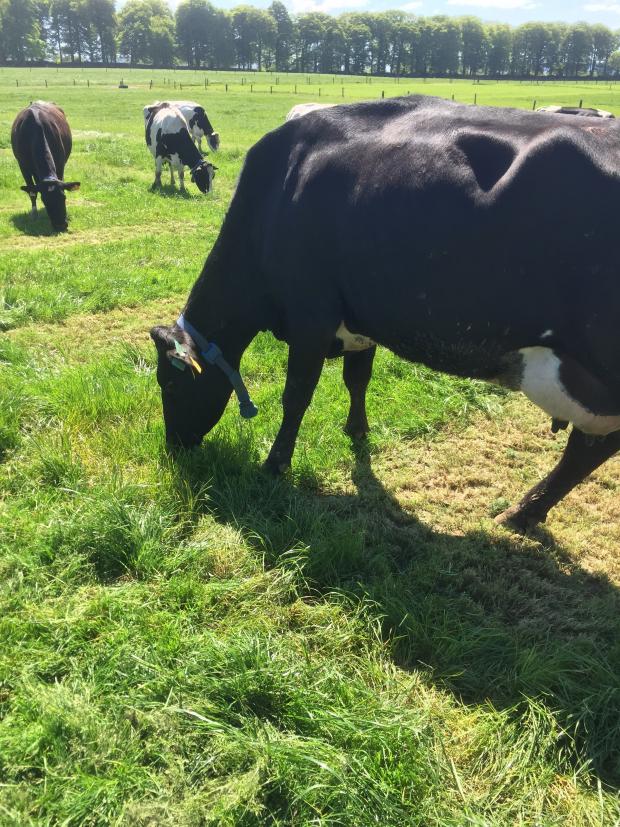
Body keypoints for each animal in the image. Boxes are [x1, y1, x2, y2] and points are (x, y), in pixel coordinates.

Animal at [11, 103, 80, 234]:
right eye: (45, 200)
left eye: (64, 197)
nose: (61, 225)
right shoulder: (23, 166)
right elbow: (32, 191)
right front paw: (34, 215)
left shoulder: (60, 164)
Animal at [150, 97, 620, 532]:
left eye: (170, 385)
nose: (174, 446)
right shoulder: (360, 319)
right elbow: (357, 379)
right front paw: (357, 430)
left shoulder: (310, 317)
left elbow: (296, 395)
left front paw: (275, 464)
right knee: (591, 448)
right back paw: (526, 512)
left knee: (590, 448)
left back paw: (521, 510)